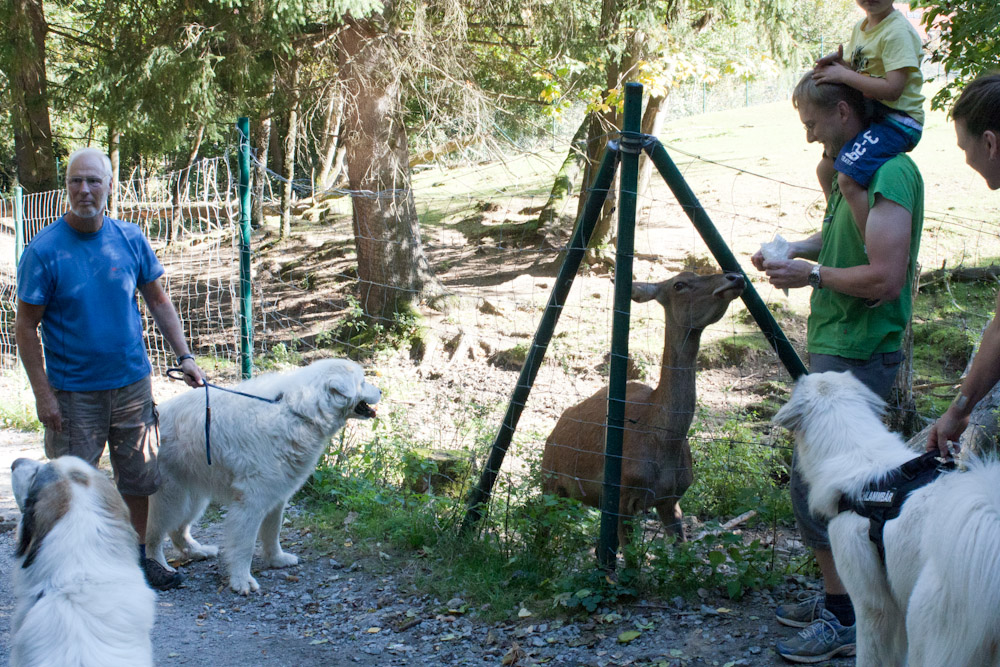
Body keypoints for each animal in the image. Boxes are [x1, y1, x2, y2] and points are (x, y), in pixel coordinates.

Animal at [146, 360, 380, 596]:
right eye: (362, 382)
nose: (380, 390)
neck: (298, 413)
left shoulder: (276, 496)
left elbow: (272, 533)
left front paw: (277, 560)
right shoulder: (251, 501)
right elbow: (245, 546)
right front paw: (242, 581)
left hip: (193, 497)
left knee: (177, 530)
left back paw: (197, 551)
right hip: (169, 498)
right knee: (153, 536)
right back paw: (162, 569)